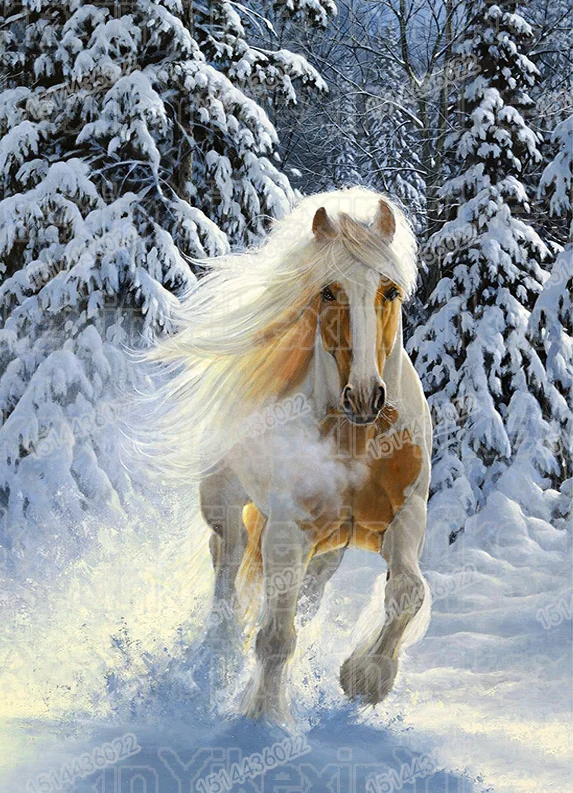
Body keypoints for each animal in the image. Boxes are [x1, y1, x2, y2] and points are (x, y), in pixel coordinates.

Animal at [145, 187, 432, 723]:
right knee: (228, 567)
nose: (365, 397)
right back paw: (218, 657)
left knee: (302, 595)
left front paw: (366, 678)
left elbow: (407, 592)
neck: (355, 442)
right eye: (328, 292)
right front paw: (263, 719)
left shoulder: (404, 514)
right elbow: (275, 638)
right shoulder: (287, 529)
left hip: (328, 548)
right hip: (228, 505)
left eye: (389, 291)